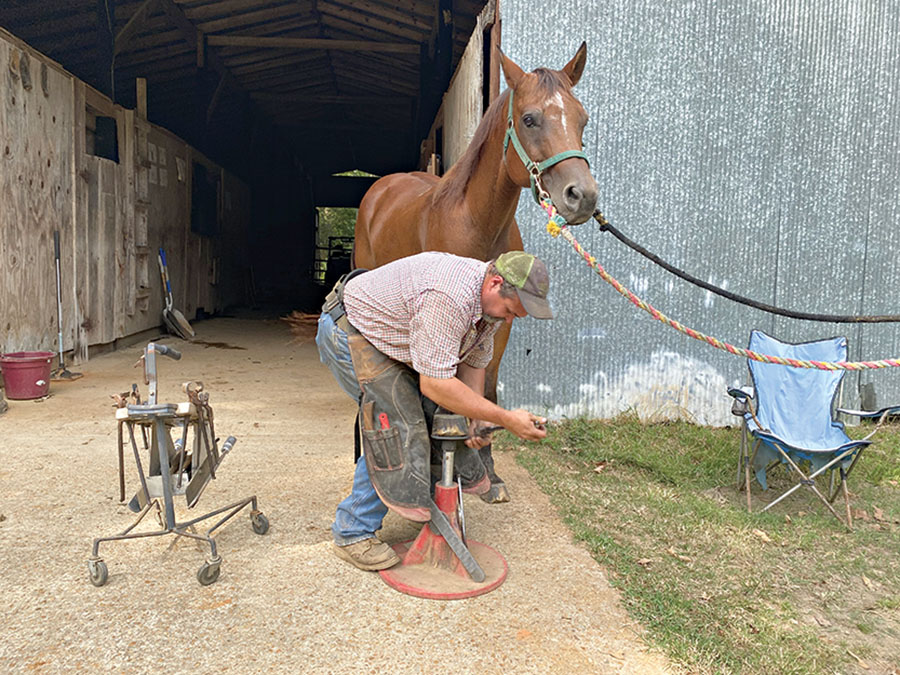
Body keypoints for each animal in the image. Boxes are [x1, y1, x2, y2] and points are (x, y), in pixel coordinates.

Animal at [352, 42, 596, 502]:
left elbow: (486, 388)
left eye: (582, 117)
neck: (477, 223)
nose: (583, 196)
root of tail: (383, 187)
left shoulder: (501, 322)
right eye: (529, 118)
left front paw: (490, 471)